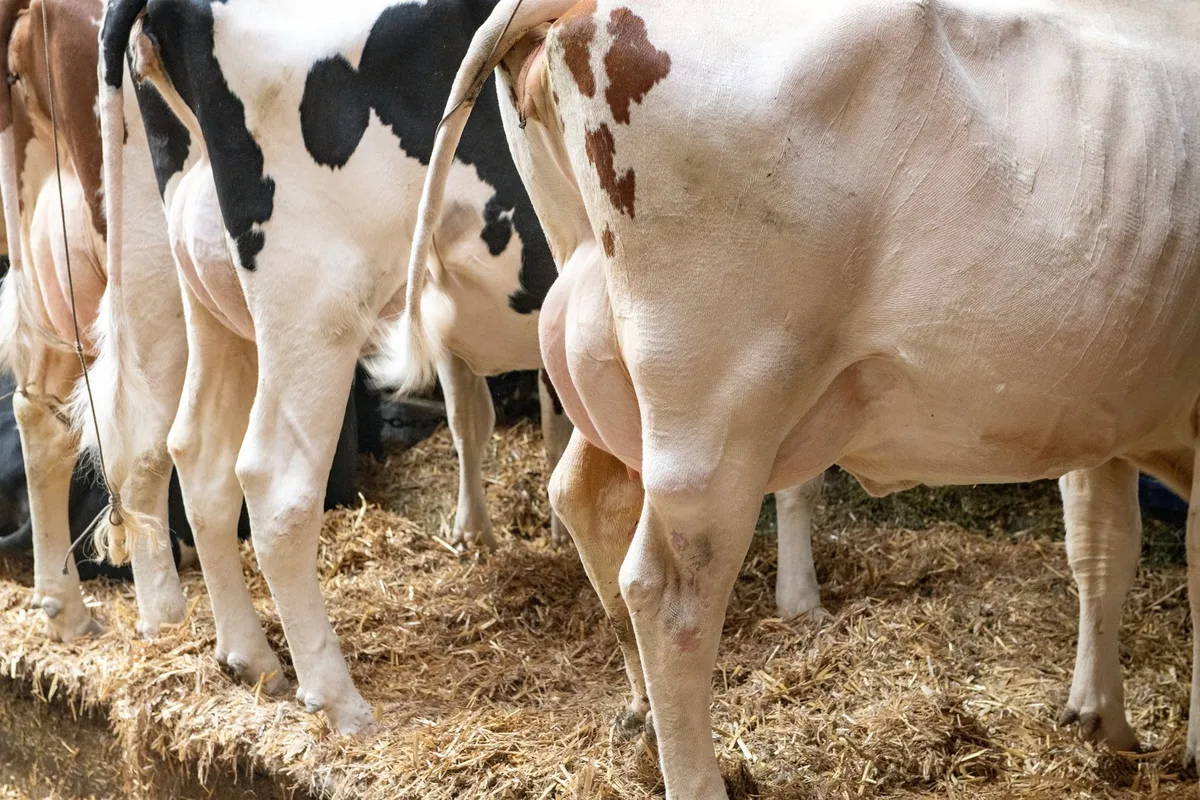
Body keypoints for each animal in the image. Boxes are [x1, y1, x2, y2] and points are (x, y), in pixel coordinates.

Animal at [402, 1, 1200, 796]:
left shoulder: (1099, 415)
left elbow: (1101, 548)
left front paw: (1103, 721)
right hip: (720, 411)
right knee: (668, 593)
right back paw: (697, 775)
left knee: (584, 496)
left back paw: (643, 719)